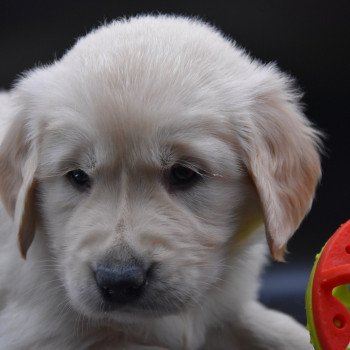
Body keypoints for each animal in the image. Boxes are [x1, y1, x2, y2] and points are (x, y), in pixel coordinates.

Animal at [0, 15, 320, 348]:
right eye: (77, 176)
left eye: (184, 174)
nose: (119, 280)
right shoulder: (35, 332)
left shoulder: (227, 308)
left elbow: (275, 328)